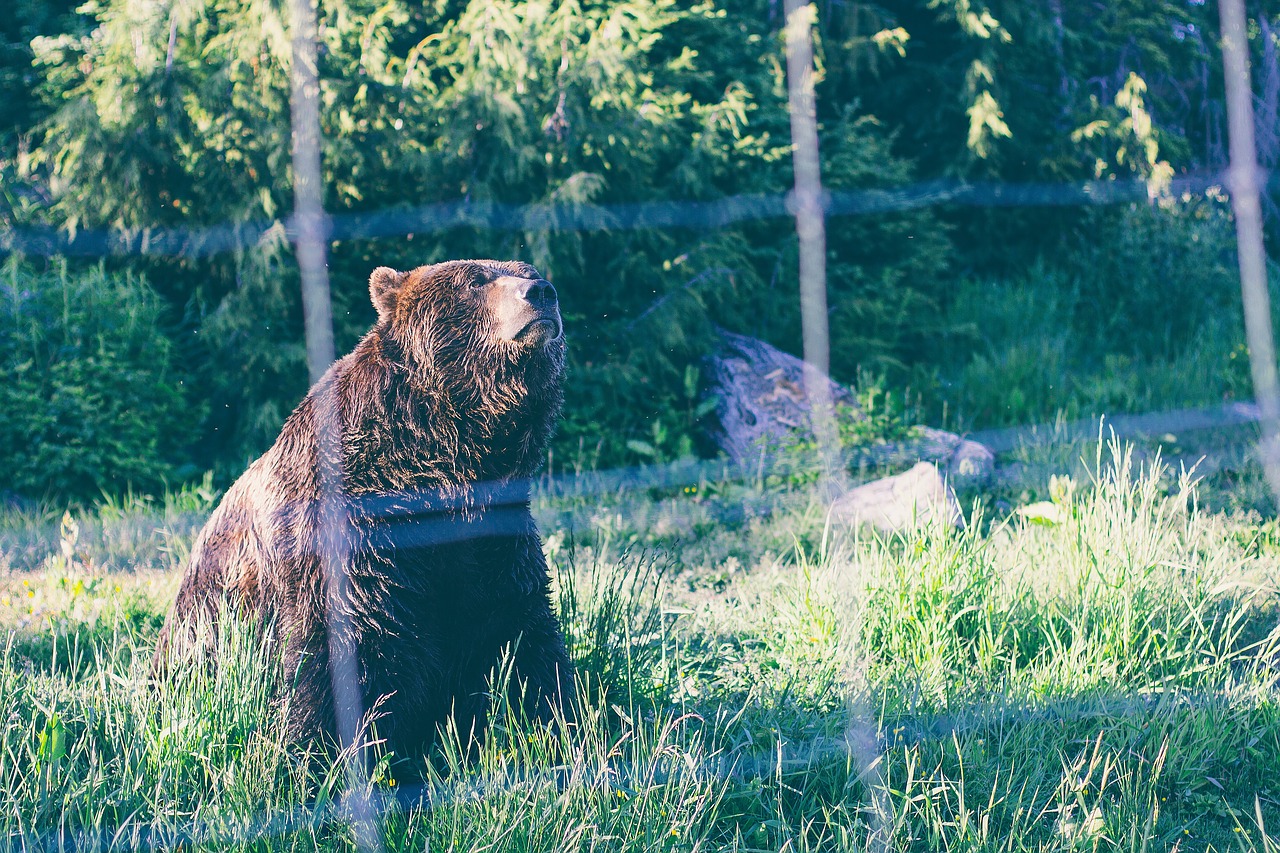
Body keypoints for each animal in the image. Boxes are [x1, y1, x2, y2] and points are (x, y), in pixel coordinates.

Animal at [153, 257, 570, 758]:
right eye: (474, 279)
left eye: (528, 269)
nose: (542, 292)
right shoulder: (350, 536)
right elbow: (342, 651)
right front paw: (317, 752)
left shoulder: (492, 537)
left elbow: (520, 636)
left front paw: (559, 725)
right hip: (201, 631)